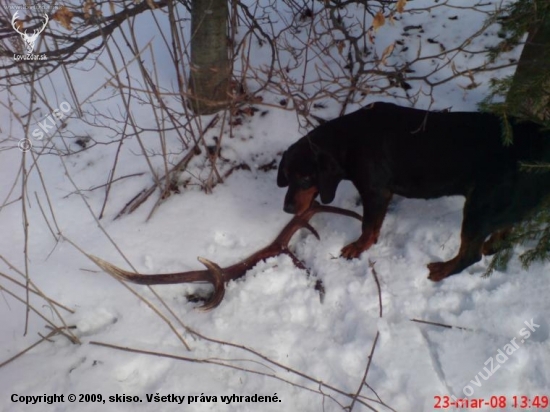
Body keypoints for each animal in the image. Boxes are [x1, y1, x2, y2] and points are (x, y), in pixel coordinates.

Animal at [278, 104, 550, 280]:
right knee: (507, 227)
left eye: (306, 178)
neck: (347, 141)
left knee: (470, 254)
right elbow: (374, 226)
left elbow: (367, 226)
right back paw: (493, 243)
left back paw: (442, 271)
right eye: (288, 177)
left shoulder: (376, 192)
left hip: (480, 205)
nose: (287, 208)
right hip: (503, 201)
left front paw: (358, 248)